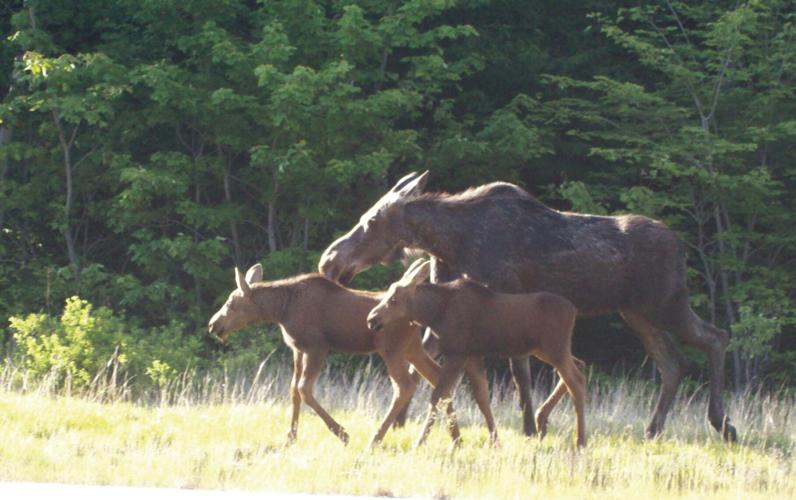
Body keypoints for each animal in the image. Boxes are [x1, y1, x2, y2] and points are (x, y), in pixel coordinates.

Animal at [207, 263, 473, 448]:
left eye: (231, 303)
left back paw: (376, 438)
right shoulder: (298, 349)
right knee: (439, 378)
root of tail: (415, 317)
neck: (281, 310)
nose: (213, 324)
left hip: (391, 349)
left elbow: (304, 389)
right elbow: (293, 391)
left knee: (405, 386)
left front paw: (342, 433)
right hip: (411, 347)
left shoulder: (316, 347)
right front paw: (290, 437)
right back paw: (456, 439)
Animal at [366, 259, 587, 447]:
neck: (434, 313)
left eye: (394, 299)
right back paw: (546, 423)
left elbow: (438, 395)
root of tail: (574, 311)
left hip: (555, 348)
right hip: (546, 350)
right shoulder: (472, 355)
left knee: (575, 380)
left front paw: (420, 441)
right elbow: (482, 398)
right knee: (579, 367)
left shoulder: (457, 353)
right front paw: (495, 442)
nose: (372, 319)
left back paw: (580, 441)